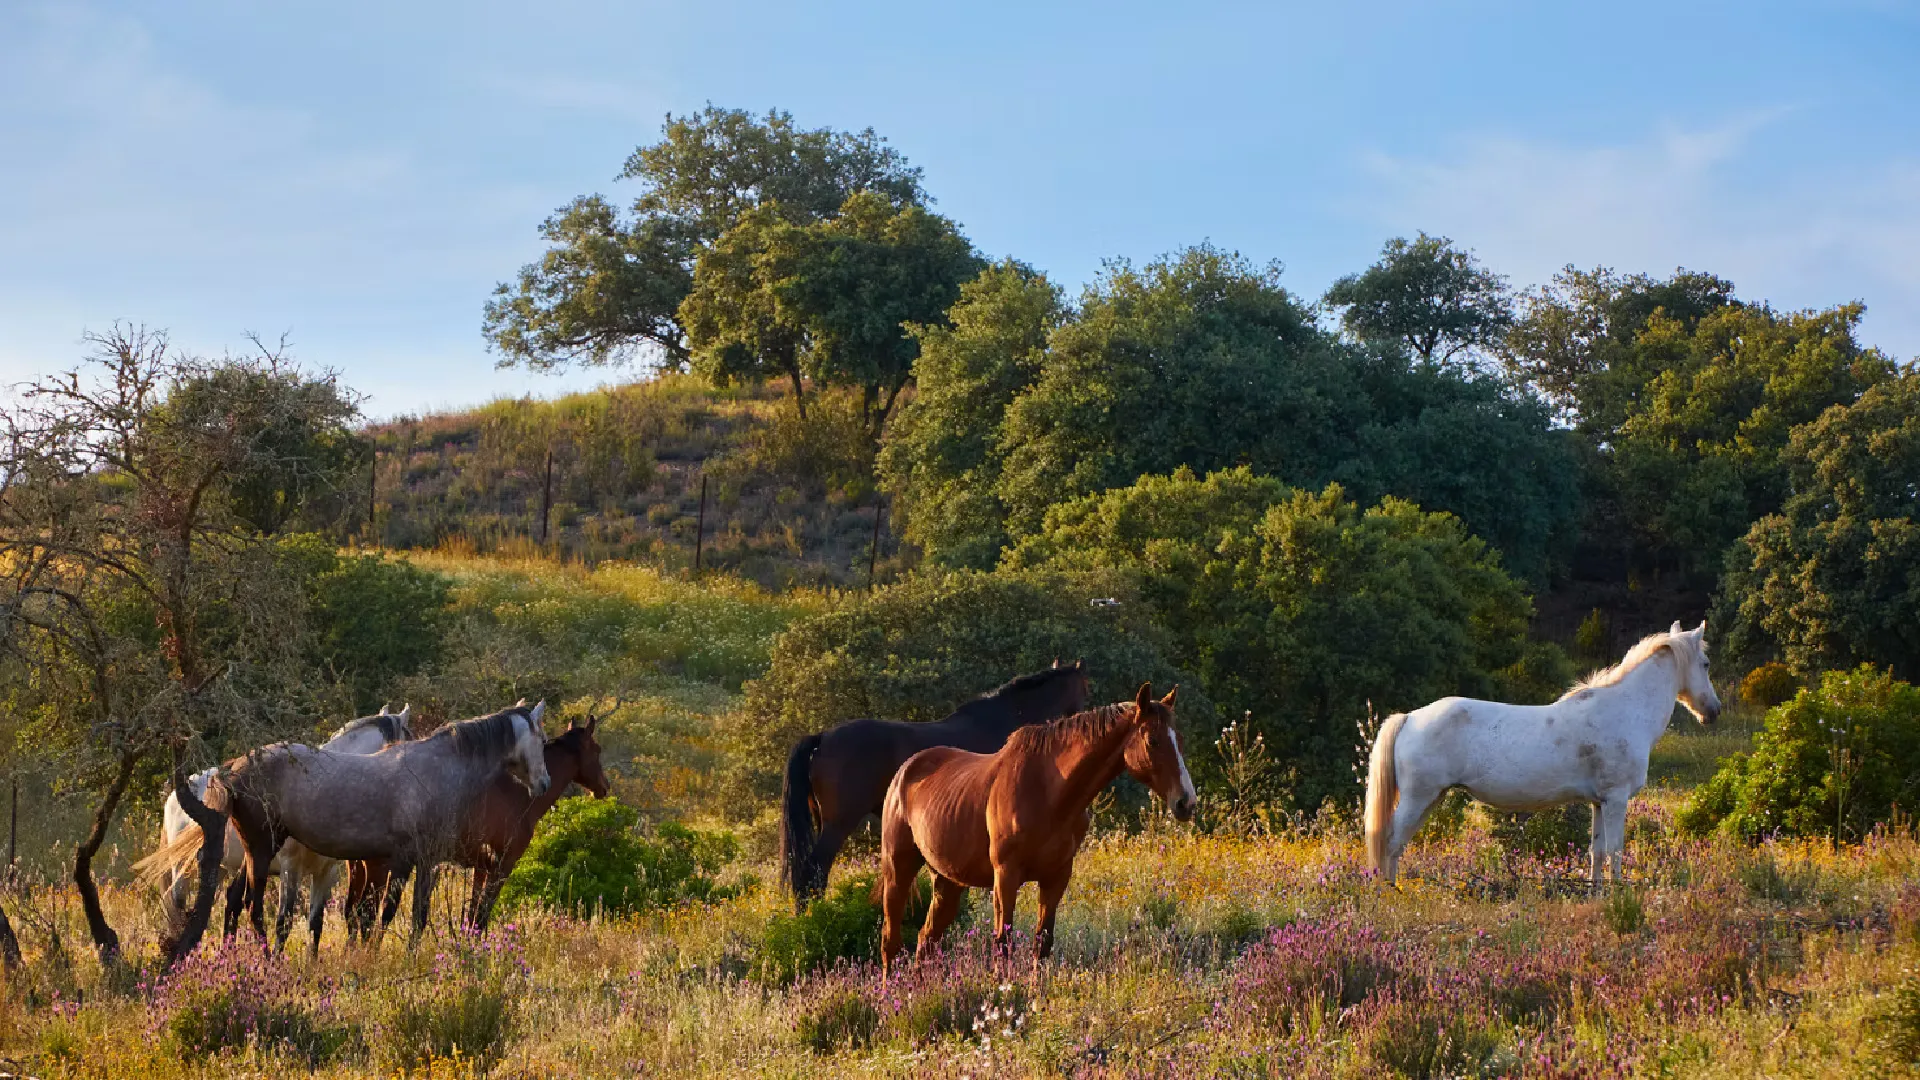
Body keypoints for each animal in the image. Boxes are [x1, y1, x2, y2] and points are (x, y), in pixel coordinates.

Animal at [139, 705, 414, 953]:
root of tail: (176, 795)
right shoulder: (289, 869)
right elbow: (285, 921)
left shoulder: (326, 871)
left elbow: (316, 923)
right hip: (185, 869)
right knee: (179, 907)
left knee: (225, 904)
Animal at [199, 702, 551, 947]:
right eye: (543, 738)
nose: (544, 784)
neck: (439, 769)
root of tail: (235, 767)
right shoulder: (409, 860)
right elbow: (391, 915)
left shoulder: (423, 862)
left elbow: (409, 916)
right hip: (262, 850)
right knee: (253, 908)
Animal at [341, 712, 611, 934]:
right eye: (597, 750)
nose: (604, 787)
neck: (517, 795)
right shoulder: (502, 867)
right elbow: (480, 918)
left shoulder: (481, 868)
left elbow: (470, 918)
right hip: (380, 866)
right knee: (366, 916)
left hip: (360, 867)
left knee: (354, 915)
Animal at [878, 683, 1195, 975]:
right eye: (1153, 740)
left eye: (1180, 739)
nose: (1187, 802)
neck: (1048, 792)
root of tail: (905, 771)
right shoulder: (1005, 876)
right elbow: (1003, 943)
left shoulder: (1056, 877)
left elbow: (1042, 944)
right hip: (898, 871)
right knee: (890, 941)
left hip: (948, 881)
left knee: (926, 941)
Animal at [1365, 620, 1721, 886]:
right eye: (1705, 664)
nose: (1713, 711)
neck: (1625, 710)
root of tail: (1410, 717)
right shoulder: (1617, 799)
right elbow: (1616, 852)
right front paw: (1618, 895)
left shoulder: (1599, 802)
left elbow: (1597, 852)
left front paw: (1597, 894)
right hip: (1418, 797)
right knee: (1390, 842)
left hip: (1431, 798)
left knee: (1397, 845)